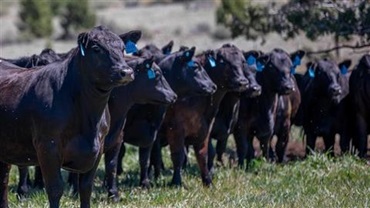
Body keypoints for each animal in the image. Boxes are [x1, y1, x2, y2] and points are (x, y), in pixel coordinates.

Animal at [0, 26, 134, 208]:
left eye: (123, 48)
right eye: (96, 48)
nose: (126, 72)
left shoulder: (98, 147)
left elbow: (86, 188)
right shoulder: (48, 147)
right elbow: (55, 188)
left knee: (3, 180)